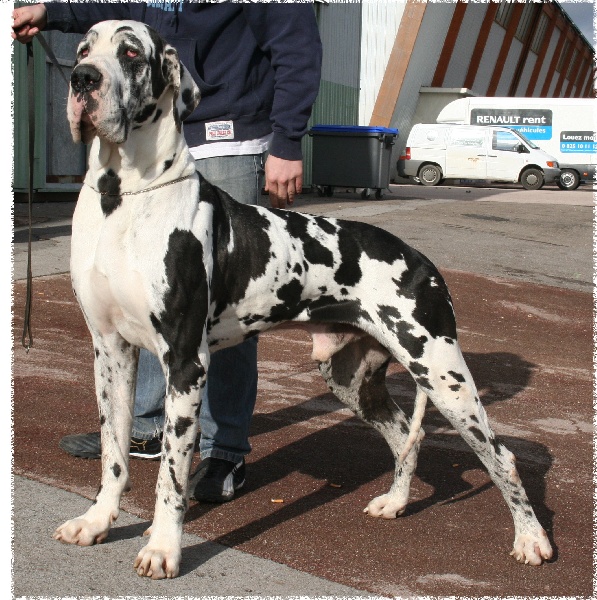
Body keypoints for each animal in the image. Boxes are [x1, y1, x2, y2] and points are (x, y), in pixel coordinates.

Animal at [53, 21, 552, 580]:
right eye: (83, 49)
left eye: (131, 53)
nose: (82, 78)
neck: (123, 196)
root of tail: (420, 258)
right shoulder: (111, 351)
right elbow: (113, 455)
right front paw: (97, 521)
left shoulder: (185, 362)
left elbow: (171, 475)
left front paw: (163, 547)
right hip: (351, 379)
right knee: (408, 434)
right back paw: (396, 502)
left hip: (445, 376)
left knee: (502, 458)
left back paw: (532, 539)